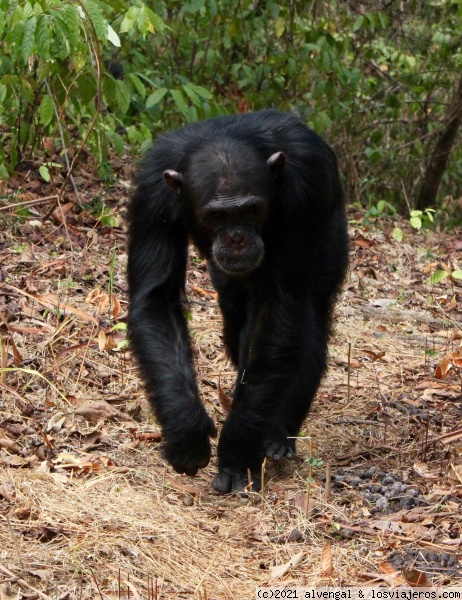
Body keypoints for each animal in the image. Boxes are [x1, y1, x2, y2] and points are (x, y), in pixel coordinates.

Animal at [128, 110, 348, 494]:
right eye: (217, 215)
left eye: (251, 209)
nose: (237, 238)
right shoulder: (152, 197)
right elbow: (156, 300)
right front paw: (186, 431)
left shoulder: (304, 194)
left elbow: (280, 308)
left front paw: (237, 450)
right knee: (235, 320)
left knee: (308, 318)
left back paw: (277, 435)